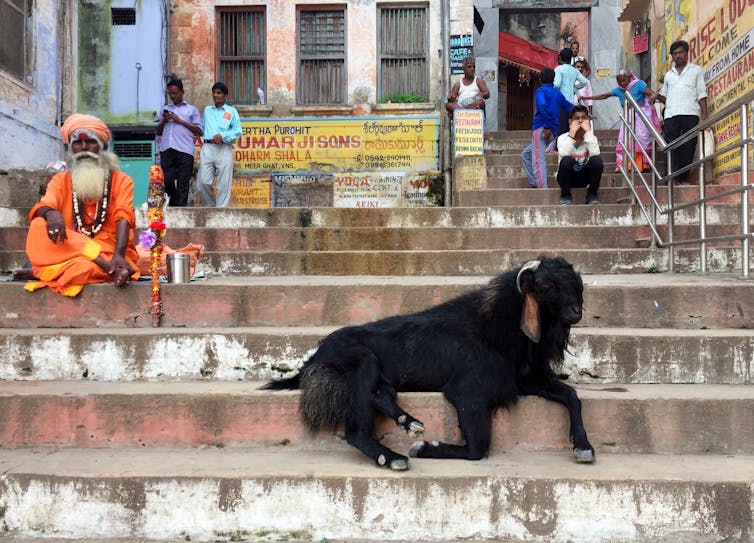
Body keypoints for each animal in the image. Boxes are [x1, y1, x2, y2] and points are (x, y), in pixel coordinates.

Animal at [262, 258, 592, 470]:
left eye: (576, 285)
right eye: (546, 285)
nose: (575, 312)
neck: (496, 327)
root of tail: (314, 358)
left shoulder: (528, 380)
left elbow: (572, 396)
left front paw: (584, 447)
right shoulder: (468, 393)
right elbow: (477, 449)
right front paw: (424, 448)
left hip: (383, 378)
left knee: (379, 395)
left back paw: (409, 422)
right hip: (362, 363)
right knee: (356, 430)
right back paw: (392, 457)